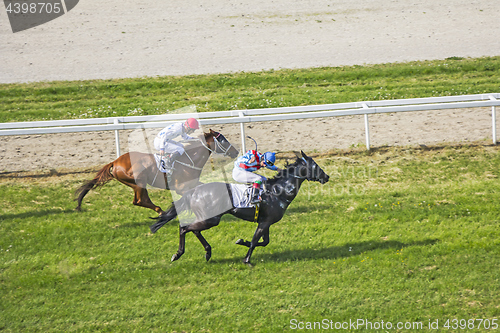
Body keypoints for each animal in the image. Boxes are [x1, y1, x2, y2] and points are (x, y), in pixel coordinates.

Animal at [73, 128, 238, 214]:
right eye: (223, 140)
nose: (236, 152)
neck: (189, 160)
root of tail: (115, 162)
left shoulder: (193, 183)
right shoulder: (180, 188)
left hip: (140, 183)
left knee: (142, 200)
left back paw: (160, 212)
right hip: (137, 181)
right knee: (139, 200)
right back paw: (160, 211)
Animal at [149, 149, 328, 264]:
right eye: (315, 166)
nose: (326, 176)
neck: (278, 191)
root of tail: (194, 191)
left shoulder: (266, 221)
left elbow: (264, 241)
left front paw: (241, 241)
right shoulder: (264, 222)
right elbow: (256, 241)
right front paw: (247, 259)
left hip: (207, 218)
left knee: (193, 230)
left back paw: (207, 252)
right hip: (211, 219)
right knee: (185, 228)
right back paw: (179, 254)